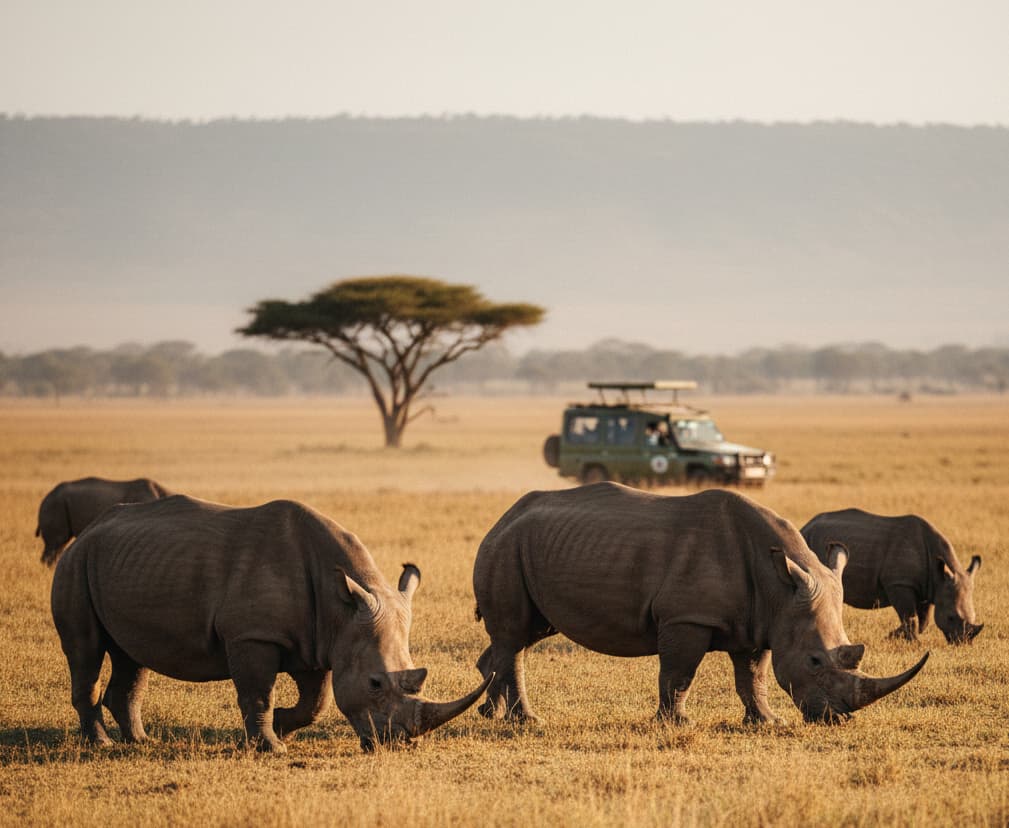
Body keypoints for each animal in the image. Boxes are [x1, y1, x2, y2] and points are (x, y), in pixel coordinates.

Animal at [51, 494, 490, 752]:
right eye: (375, 684)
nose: (398, 744)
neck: (340, 605)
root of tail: (88, 531)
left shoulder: (321, 639)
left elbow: (316, 702)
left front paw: (282, 725)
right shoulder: (253, 636)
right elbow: (258, 693)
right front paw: (271, 747)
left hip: (123, 564)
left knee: (131, 655)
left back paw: (141, 742)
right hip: (75, 565)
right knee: (86, 652)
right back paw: (103, 746)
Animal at [473, 484, 928, 725]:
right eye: (815, 661)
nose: (838, 717)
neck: (779, 585)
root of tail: (501, 518)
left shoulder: (762, 619)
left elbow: (753, 675)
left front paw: (766, 722)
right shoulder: (686, 618)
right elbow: (679, 673)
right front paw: (675, 723)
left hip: (529, 547)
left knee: (522, 635)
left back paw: (489, 713)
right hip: (505, 548)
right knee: (514, 636)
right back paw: (527, 721)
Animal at [801, 508, 983, 644]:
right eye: (951, 617)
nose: (962, 643)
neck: (938, 575)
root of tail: (805, 526)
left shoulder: (930, 587)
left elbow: (924, 620)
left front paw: (896, 637)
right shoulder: (899, 584)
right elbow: (910, 617)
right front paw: (909, 642)